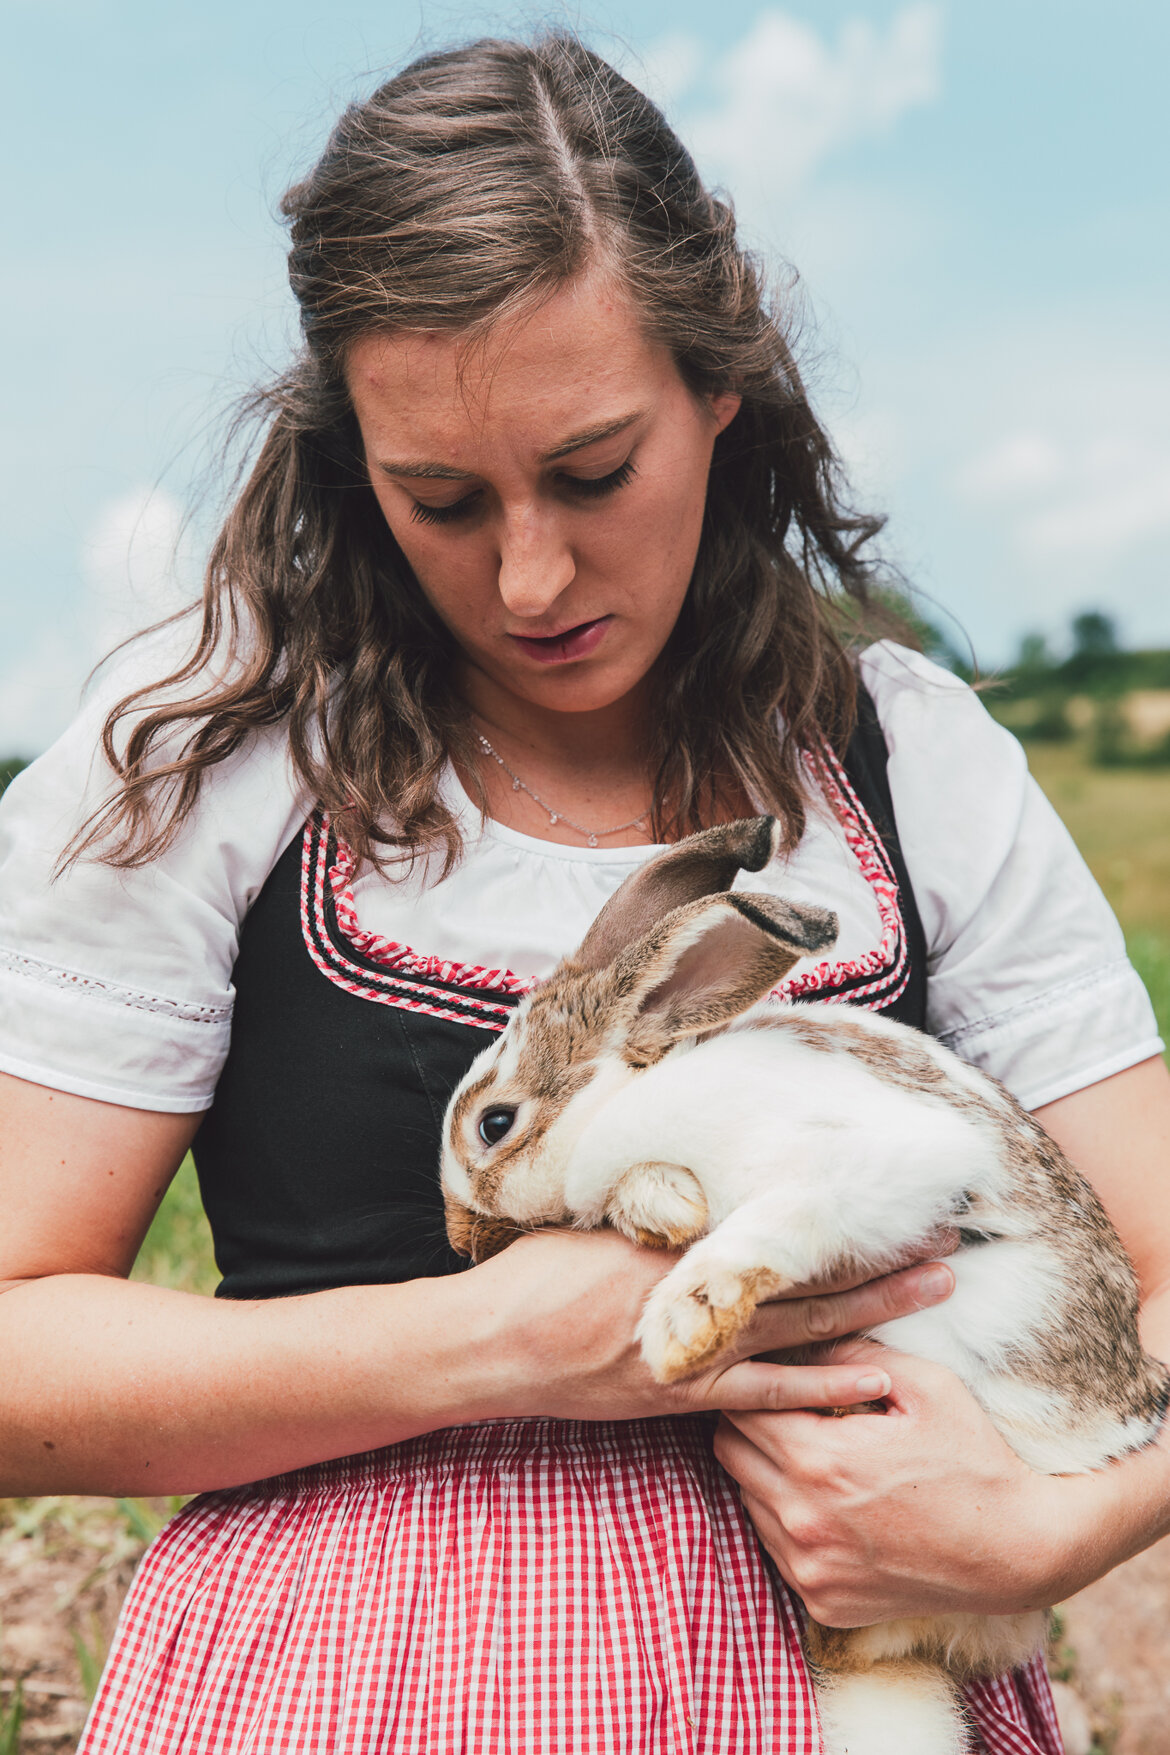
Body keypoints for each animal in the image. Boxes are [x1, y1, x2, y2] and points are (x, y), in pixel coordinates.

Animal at [440, 815, 1170, 1755]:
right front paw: (661, 1206)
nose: (460, 1243)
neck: (629, 1103)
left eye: (495, 1124)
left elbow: (781, 1219)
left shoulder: (895, 1172)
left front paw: (684, 1324)